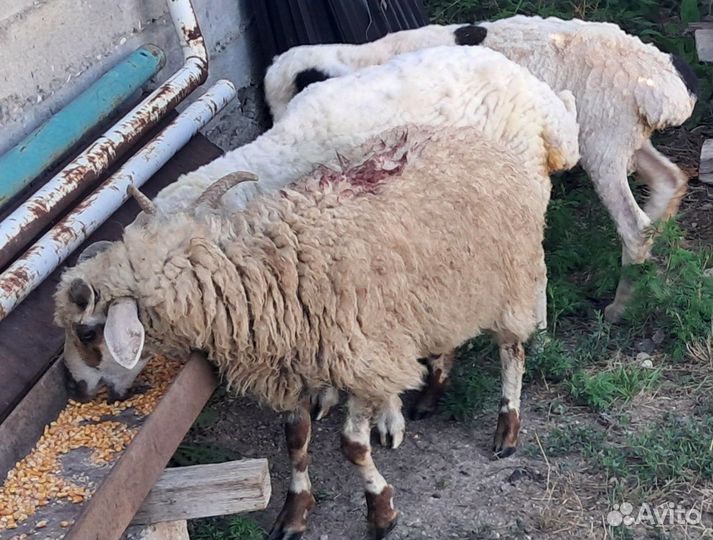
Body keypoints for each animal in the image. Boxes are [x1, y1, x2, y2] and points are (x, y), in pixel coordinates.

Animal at [54, 123, 575, 539]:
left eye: (87, 332)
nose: (75, 388)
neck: (262, 272)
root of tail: (470, 135)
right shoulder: (291, 366)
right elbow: (295, 441)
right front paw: (295, 511)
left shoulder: (359, 358)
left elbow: (352, 446)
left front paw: (381, 511)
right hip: (445, 291)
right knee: (445, 338)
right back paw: (431, 394)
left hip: (509, 274)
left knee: (512, 351)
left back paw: (507, 428)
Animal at [264, 15, 699, 324]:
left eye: (291, 99)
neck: (361, 60)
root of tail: (663, 82)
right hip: (624, 138)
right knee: (669, 180)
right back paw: (651, 277)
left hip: (601, 141)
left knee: (634, 226)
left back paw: (619, 308)